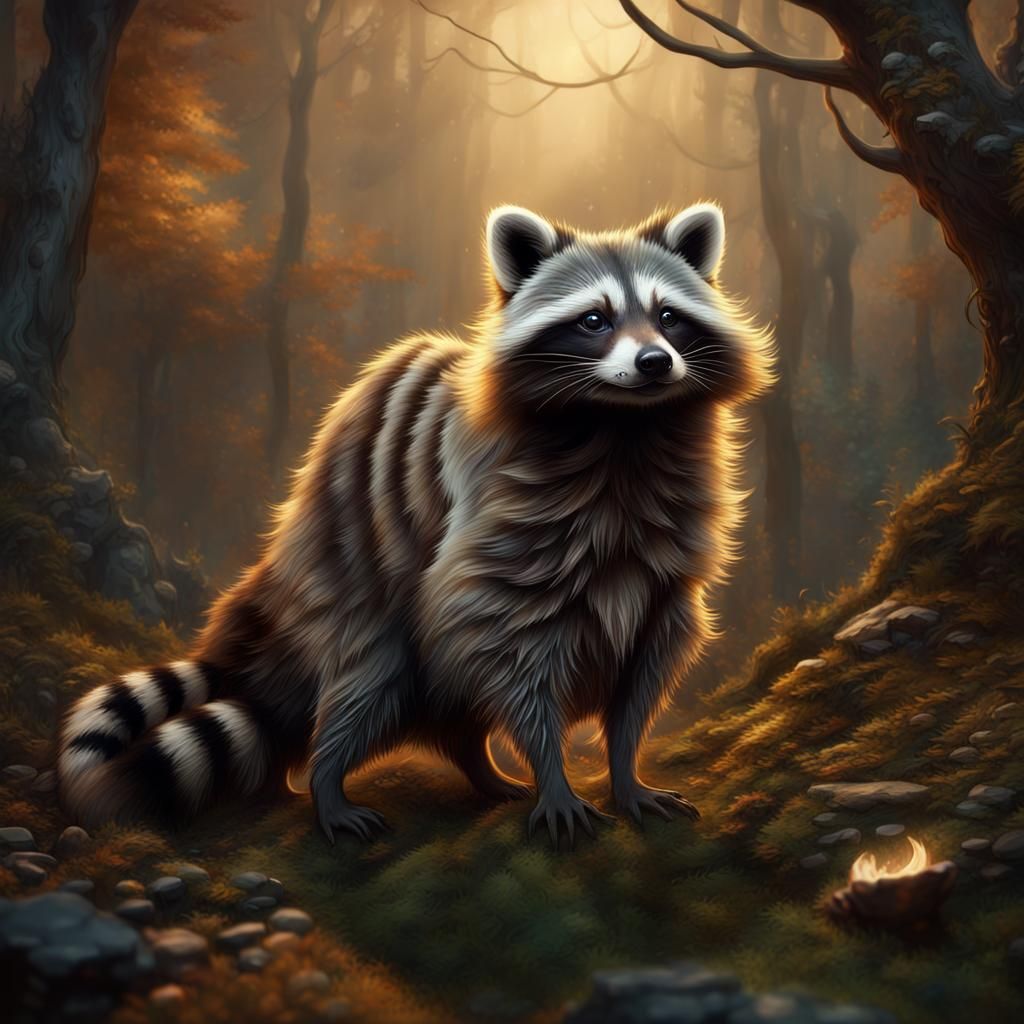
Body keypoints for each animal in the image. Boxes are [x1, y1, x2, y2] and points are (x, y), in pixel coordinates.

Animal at [58, 203, 773, 846]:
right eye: (593, 320)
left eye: (668, 316)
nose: (655, 362)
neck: (623, 426)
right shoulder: (503, 534)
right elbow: (514, 650)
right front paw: (553, 774)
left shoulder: (665, 559)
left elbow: (645, 671)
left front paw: (625, 772)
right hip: (354, 581)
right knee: (366, 679)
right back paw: (327, 781)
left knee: (446, 708)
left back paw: (477, 766)